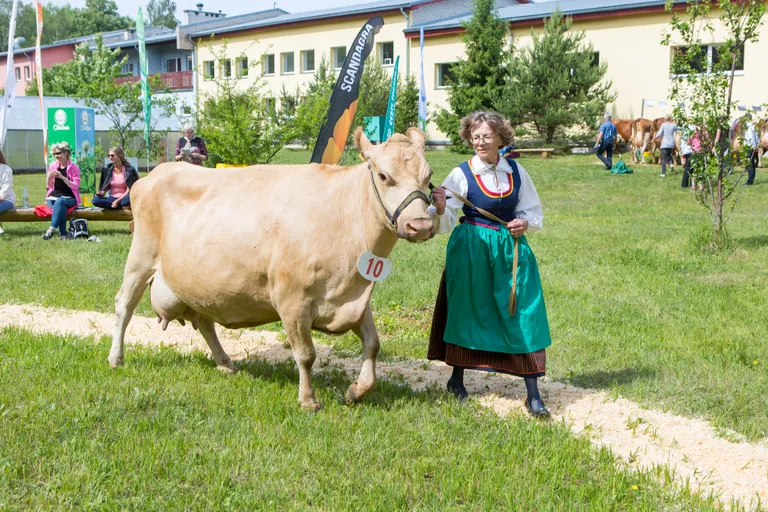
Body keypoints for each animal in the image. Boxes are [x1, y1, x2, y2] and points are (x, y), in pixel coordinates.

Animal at [106, 129, 438, 412]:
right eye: (383, 176)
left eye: (428, 176)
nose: (420, 225)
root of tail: (156, 173)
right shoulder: (291, 299)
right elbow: (306, 354)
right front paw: (308, 400)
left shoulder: (356, 297)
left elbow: (372, 344)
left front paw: (357, 391)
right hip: (140, 259)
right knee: (124, 306)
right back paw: (116, 358)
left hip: (198, 283)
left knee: (205, 322)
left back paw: (225, 363)